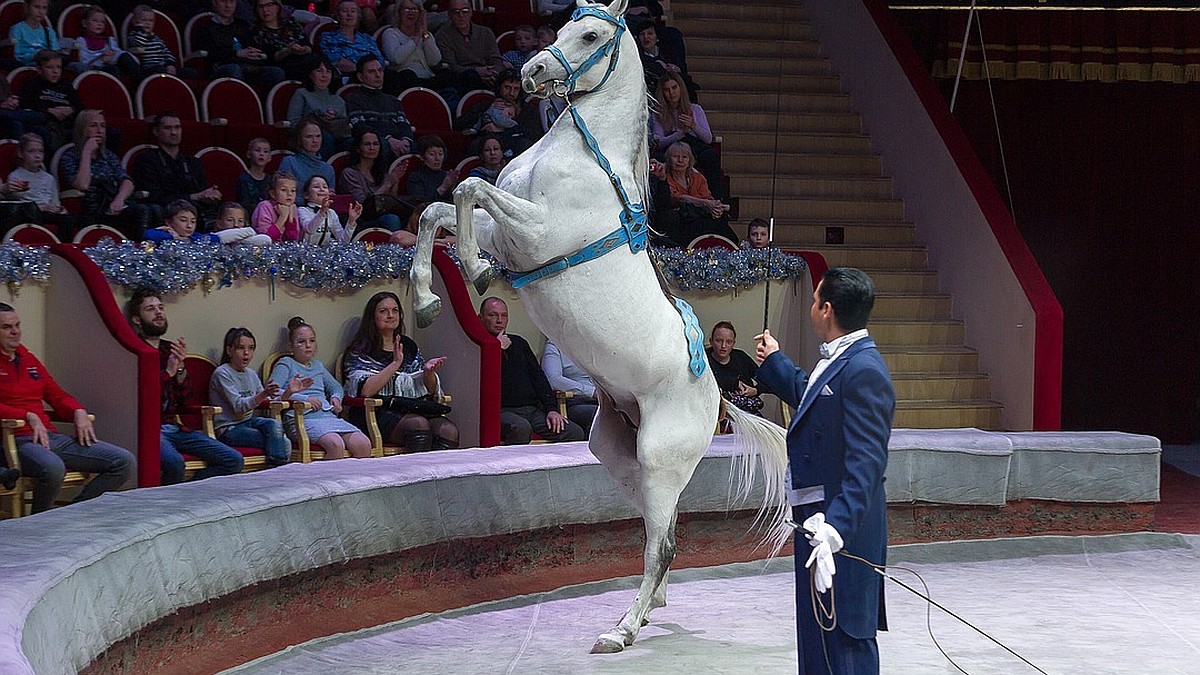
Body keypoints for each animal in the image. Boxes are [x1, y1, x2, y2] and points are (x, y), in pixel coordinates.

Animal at [412, 0, 796, 653]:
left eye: (590, 34)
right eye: (565, 24)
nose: (533, 73)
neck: (583, 157)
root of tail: (719, 398)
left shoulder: (534, 234)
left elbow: (465, 188)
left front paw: (473, 271)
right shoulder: (509, 234)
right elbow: (437, 210)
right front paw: (428, 299)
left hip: (661, 458)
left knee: (660, 543)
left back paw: (621, 630)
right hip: (620, 453)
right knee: (660, 533)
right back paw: (650, 606)